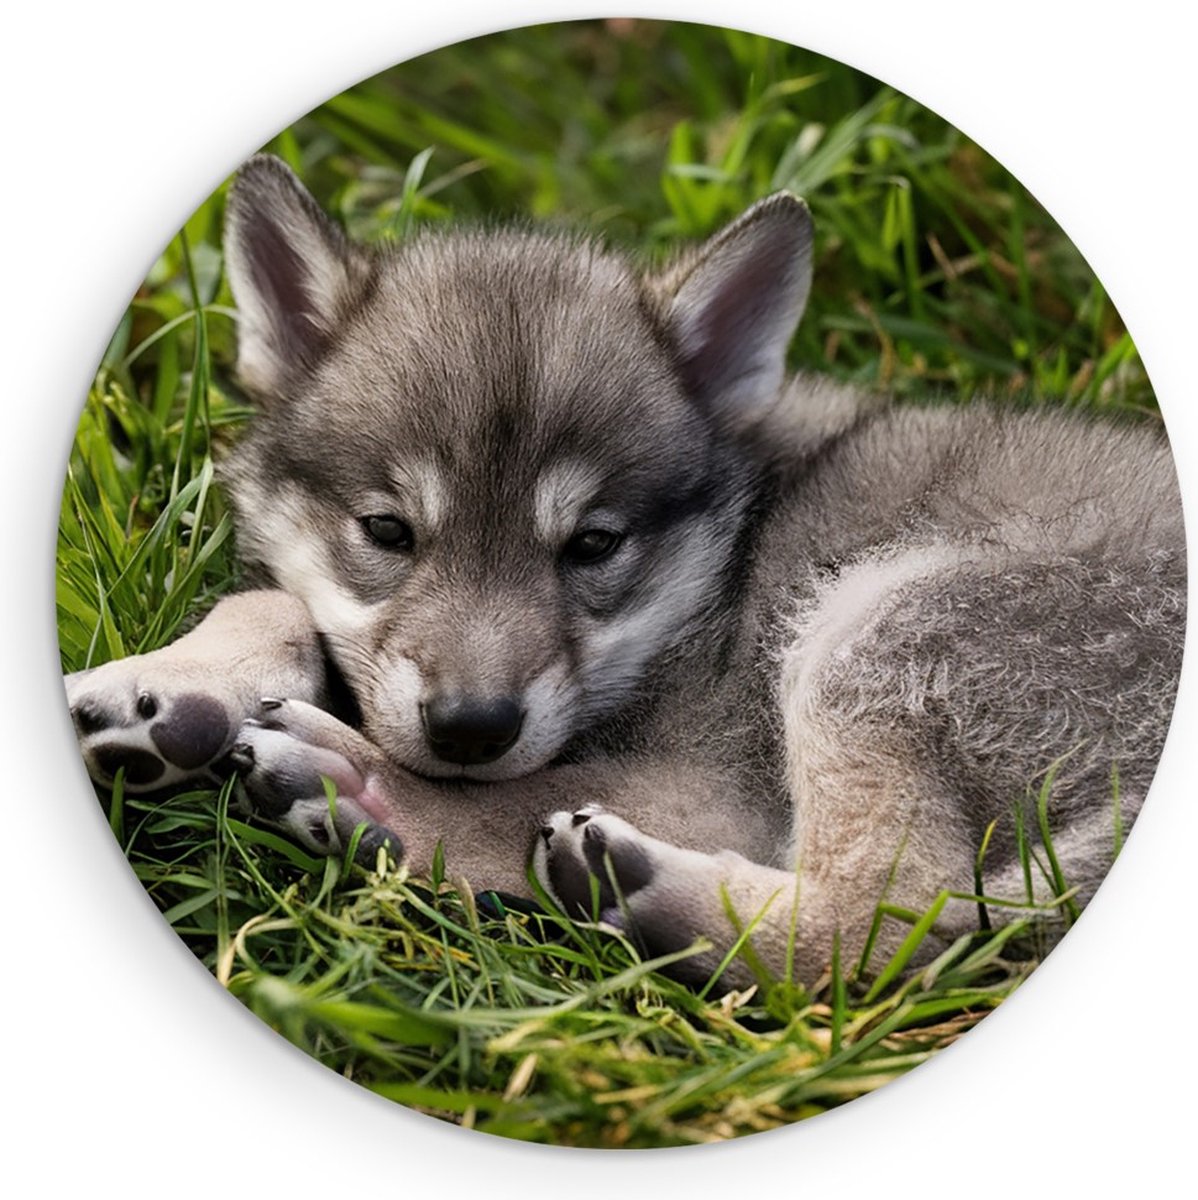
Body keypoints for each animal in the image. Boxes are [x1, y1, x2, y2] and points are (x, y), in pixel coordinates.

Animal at [65, 155, 1185, 988]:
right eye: (386, 531)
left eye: (593, 546)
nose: (471, 729)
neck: (720, 573)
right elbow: (276, 599)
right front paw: (168, 686)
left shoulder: (714, 783)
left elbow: (525, 792)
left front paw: (390, 790)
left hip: (879, 629)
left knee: (894, 921)